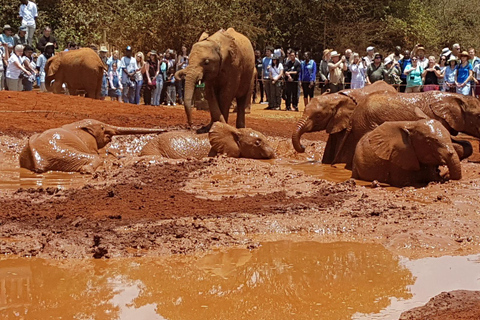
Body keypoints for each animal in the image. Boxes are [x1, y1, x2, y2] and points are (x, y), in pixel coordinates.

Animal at [19, 119, 166, 174]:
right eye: (102, 127)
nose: (164, 130)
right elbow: (98, 154)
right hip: (58, 152)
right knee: (93, 159)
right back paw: (89, 171)